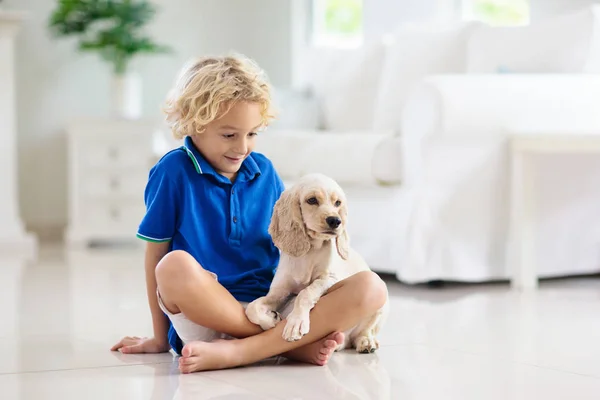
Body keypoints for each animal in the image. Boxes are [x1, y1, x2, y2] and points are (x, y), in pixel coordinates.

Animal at [245, 173, 390, 354]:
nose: (335, 221)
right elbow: (251, 308)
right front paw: (270, 320)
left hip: (381, 301)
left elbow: (306, 292)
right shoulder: (278, 291)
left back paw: (366, 342)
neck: (311, 250)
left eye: (338, 203)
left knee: (364, 330)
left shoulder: (330, 278)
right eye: (312, 200)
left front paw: (295, 323)